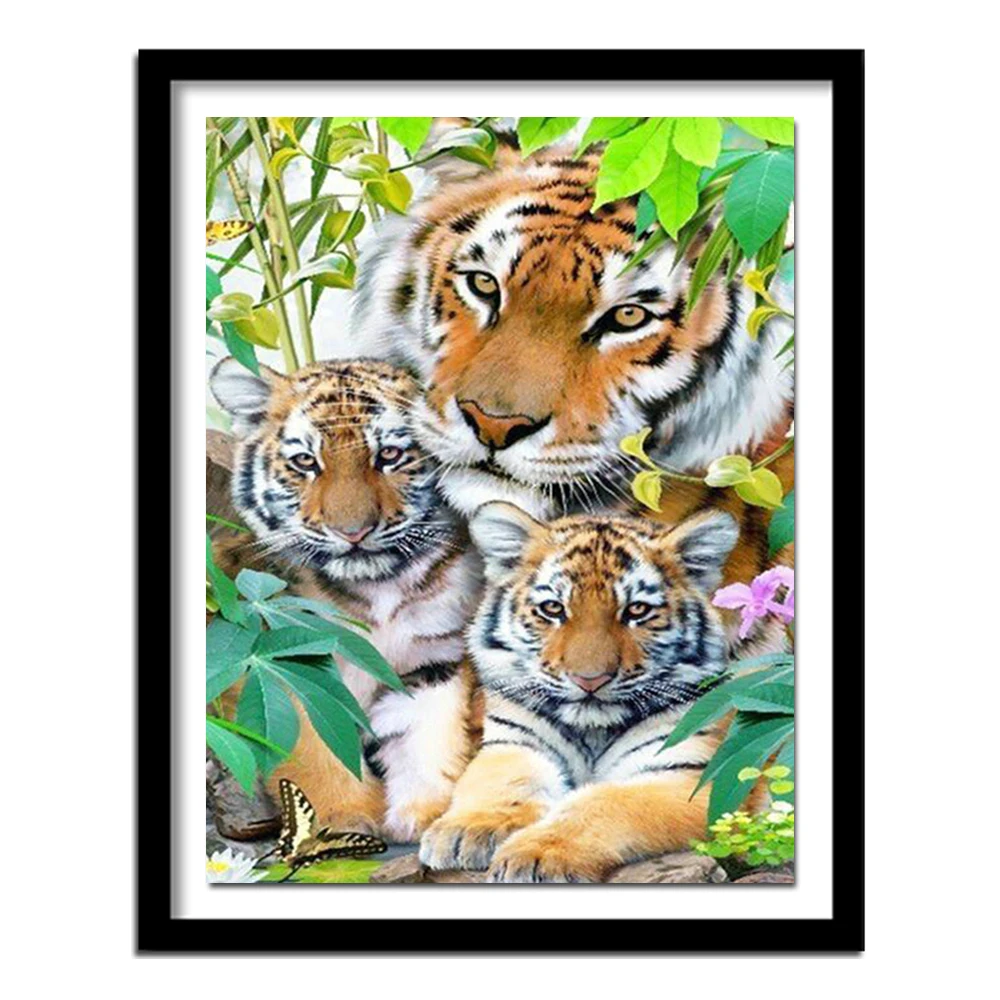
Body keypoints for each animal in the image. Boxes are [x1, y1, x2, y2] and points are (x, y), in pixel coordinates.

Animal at [209, 357, 484, 842]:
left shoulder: (436, 657)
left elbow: (427, 731)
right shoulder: (287, 660)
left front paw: (425, 813)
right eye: (305, 461)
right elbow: (315, 744)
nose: (353, 532)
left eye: (389, 455)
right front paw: (344, 819)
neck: (377, 588)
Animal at [419, 501, 767, 882]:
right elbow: (504, 781)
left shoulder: (692, 776)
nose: (590, 679)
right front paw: (467, 831)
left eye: (637, 610)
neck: (592, 731)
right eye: (553, 609)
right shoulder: (515, 743)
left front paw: (536, 855)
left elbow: (602, 803)